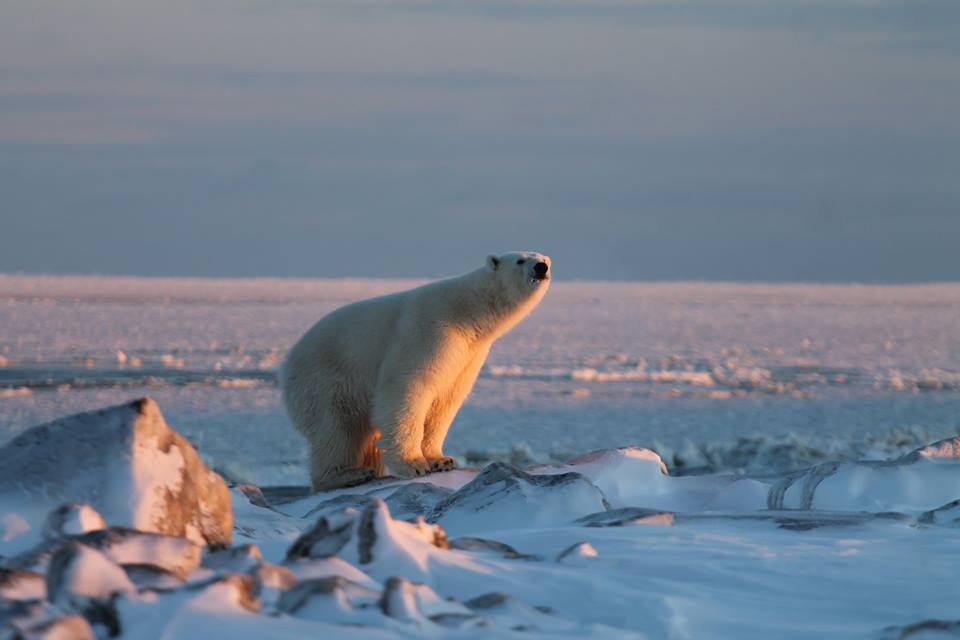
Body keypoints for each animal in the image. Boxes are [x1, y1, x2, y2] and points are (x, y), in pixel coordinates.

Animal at [282, 251, 552, 490]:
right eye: (520, 260)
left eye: (543, 257)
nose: (541, 267)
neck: (466, 311)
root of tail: (287, 364)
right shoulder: (428, 331)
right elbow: (408, 389)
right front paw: (413, 464)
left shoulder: (468, 354)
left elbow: (444, 400)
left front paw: (442, 460)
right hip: (325, 380)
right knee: (337, 430)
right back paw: (347, 474)